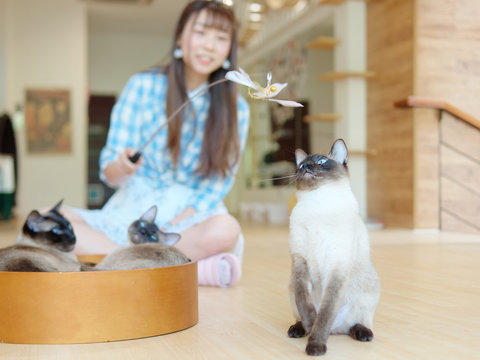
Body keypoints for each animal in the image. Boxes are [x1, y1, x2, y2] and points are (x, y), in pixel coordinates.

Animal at [288, 139, 378, 356]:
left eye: (321, 161)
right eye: (301, 165)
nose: (307, 167)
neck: (317, 205)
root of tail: (335, 331)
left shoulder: (337, 266)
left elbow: (325, 313)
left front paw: (315, 347)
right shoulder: (299, 261)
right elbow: (304, 303)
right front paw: (310, 328)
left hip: (368, 292)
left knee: (353, 324)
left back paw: (363, 334)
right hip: (289, 286)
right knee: (301, 314)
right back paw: (298, 329)